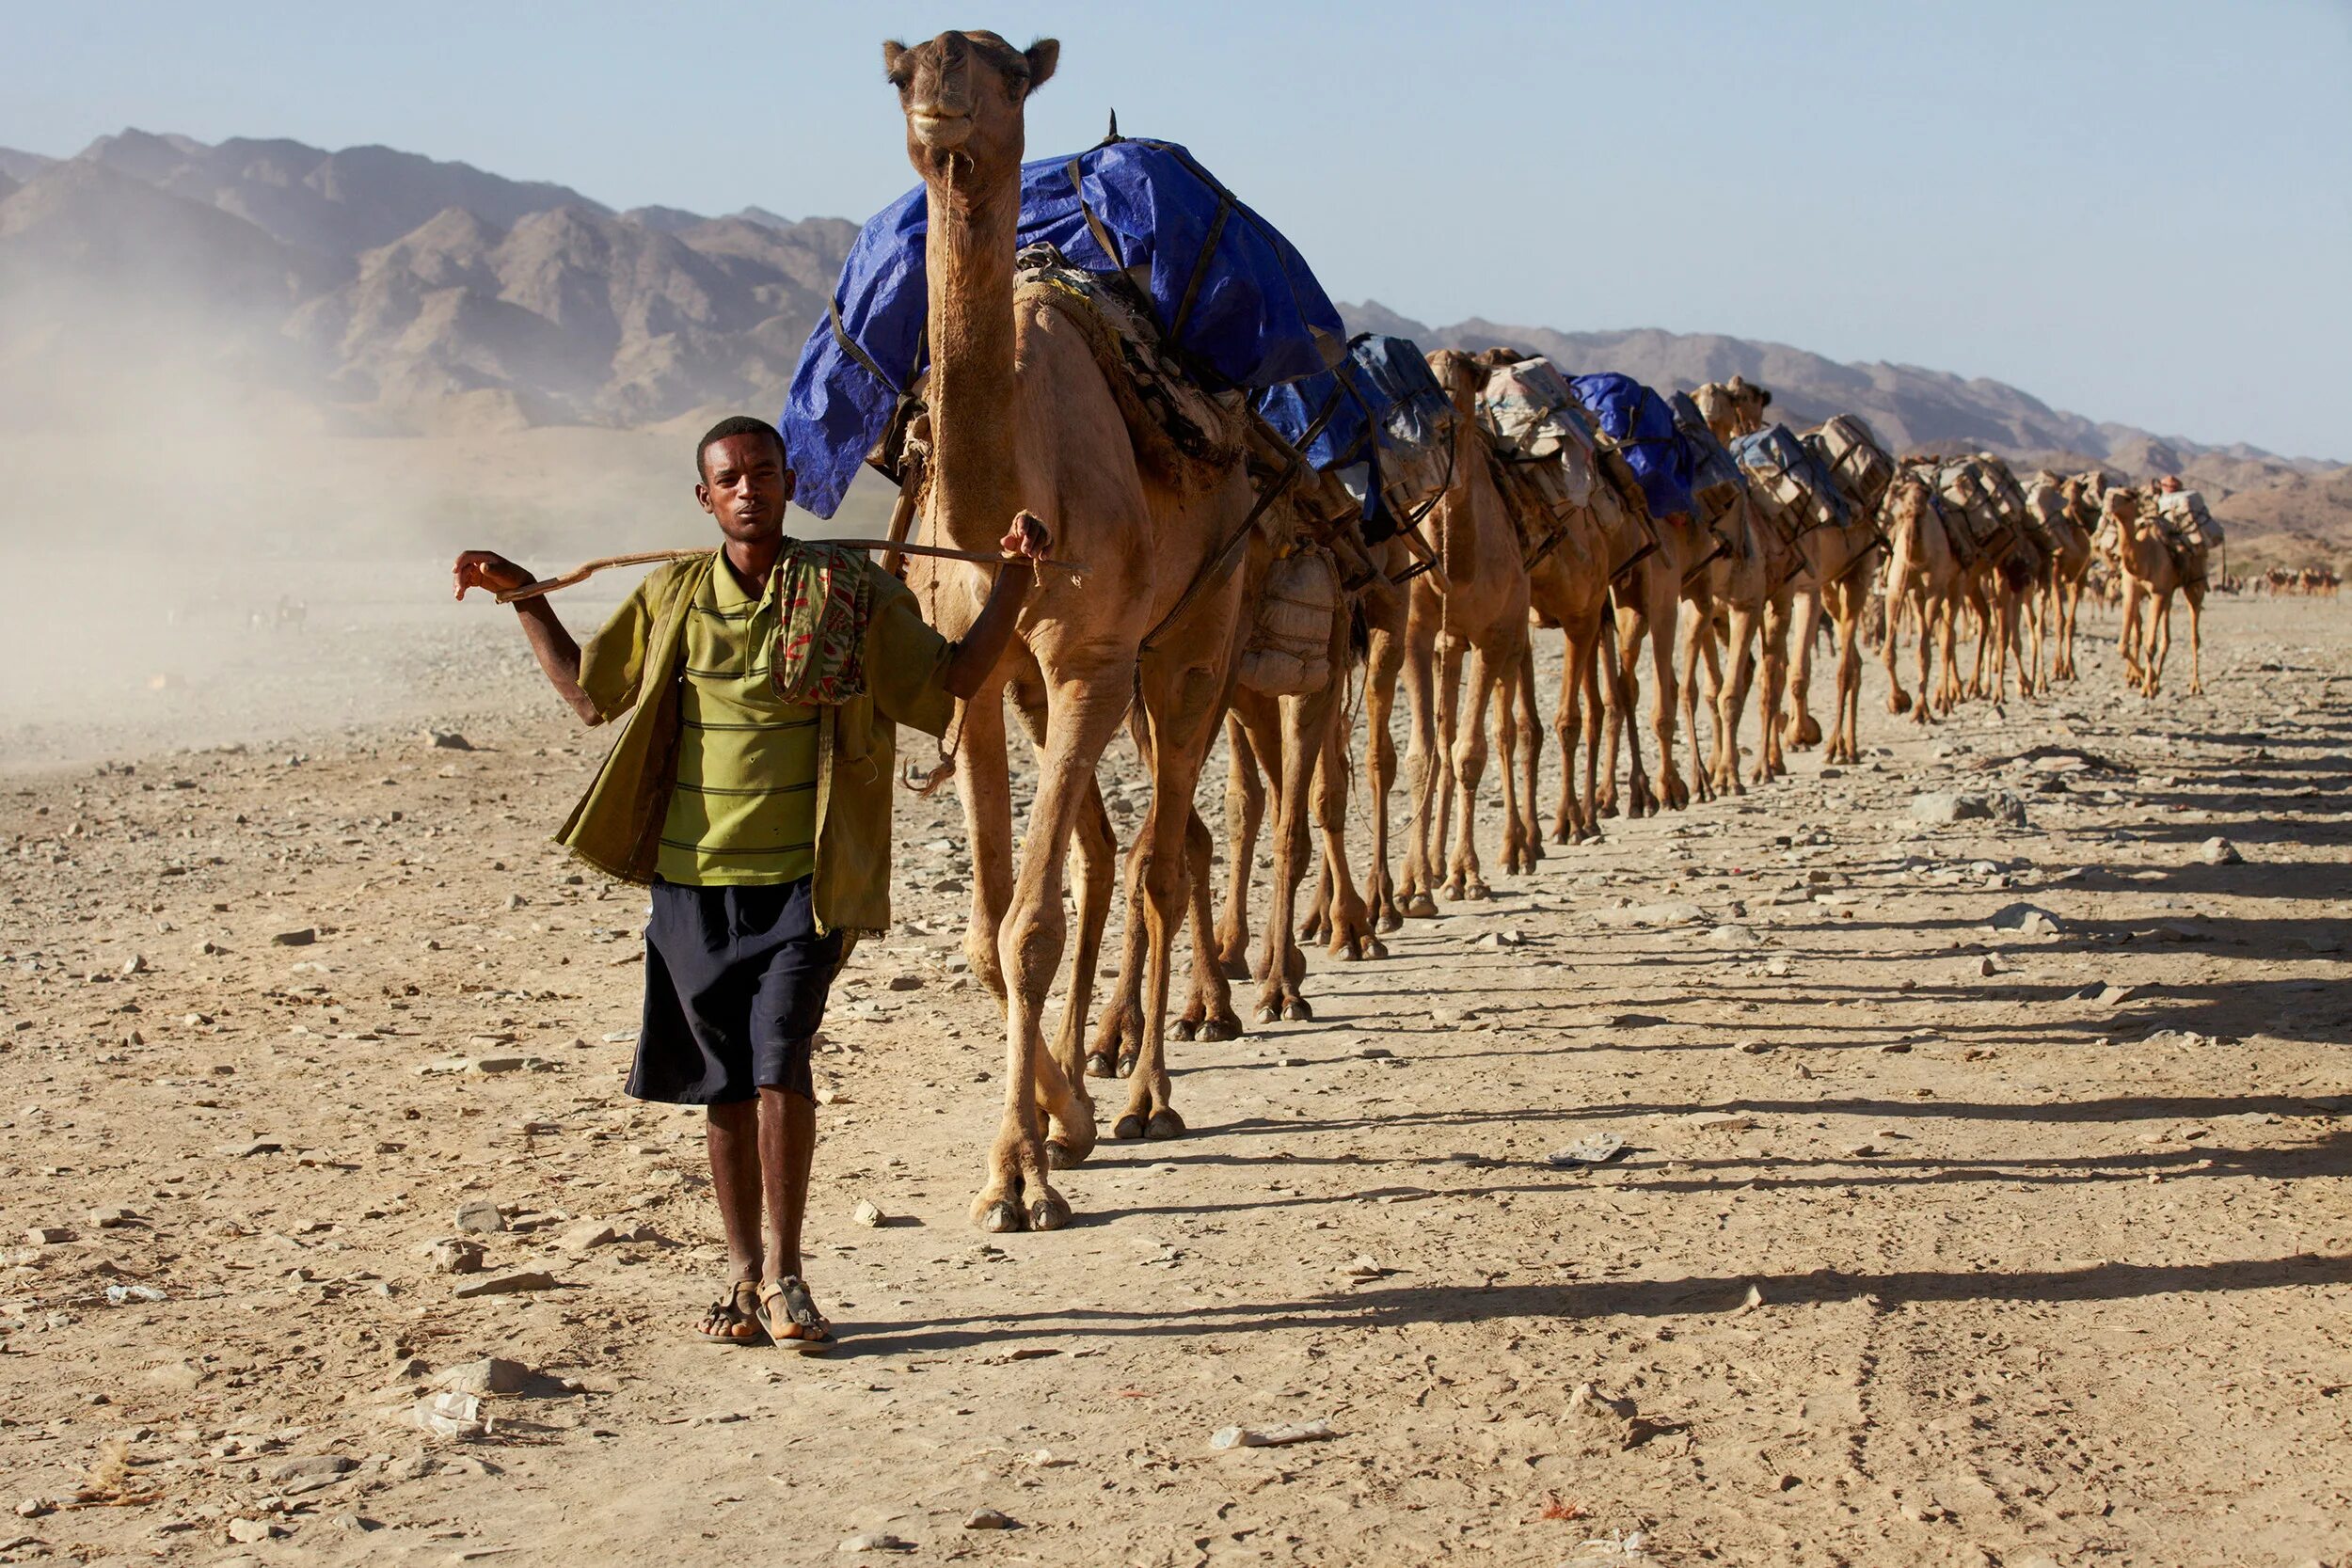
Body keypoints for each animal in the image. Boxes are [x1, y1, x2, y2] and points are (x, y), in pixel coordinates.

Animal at [889, 18, 1279, 1231]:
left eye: (1008, 70)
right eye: (899, 67)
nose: (939, 96)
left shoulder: (1092, 664)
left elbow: (1030, 925)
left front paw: (1021, 1169)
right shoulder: (974, 675)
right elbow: (990, 929)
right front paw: (1058, 1118)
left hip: (1194, 634)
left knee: (1164, 855)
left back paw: (1151, 1089)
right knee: (1117, 855)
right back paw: (1099, 1073)